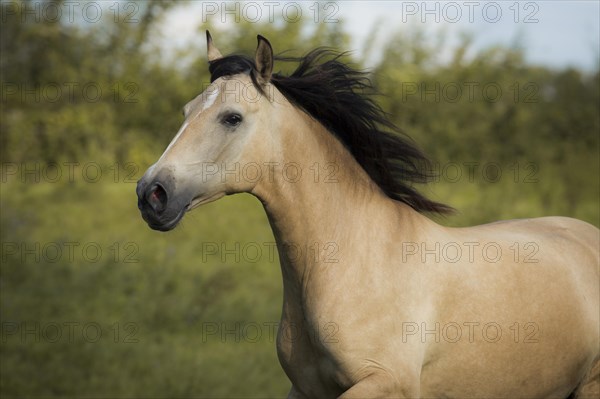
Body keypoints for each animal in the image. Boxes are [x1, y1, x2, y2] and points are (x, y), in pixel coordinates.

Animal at [137, 32, 600, 399]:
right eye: (185, 112)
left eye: (231, 118)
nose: (151, 194)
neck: (349, 263)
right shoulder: (305, 390)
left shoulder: (386, 385)